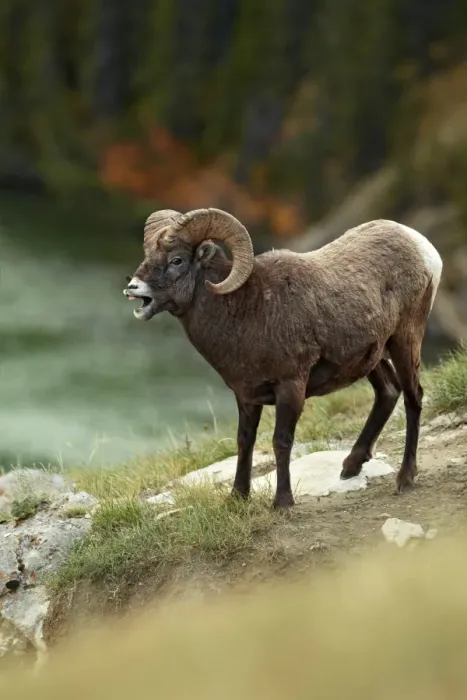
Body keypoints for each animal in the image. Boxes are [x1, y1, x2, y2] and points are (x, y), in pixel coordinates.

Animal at [123, 208, 443, 509]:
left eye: (177, 260)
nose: (132, 288)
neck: (247, 311)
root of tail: (422, 246)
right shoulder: (246, 396)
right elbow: (245, 442)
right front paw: (237, 498)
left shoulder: (290, 389)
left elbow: (281, 442)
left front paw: (283, 503)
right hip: (372, 358)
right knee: (388, 392)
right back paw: (350, 467)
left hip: (404, 342)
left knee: (413, 397)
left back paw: (405, 479)